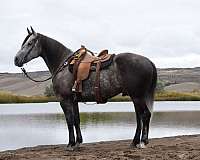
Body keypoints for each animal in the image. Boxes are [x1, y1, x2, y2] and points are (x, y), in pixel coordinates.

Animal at [14, 26, 158, 151]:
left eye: (30, 43)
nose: (16, 59)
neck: (63, 64)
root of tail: (148, 61)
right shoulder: (74, 101)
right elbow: (76, 120)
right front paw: (78, 142)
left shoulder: (64, 100)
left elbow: (69, 121)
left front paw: (71, 144)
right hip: (136, 97)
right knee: (140, 117)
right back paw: (135, 142)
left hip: (137, 96)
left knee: (145, 115)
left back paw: (142, 142)